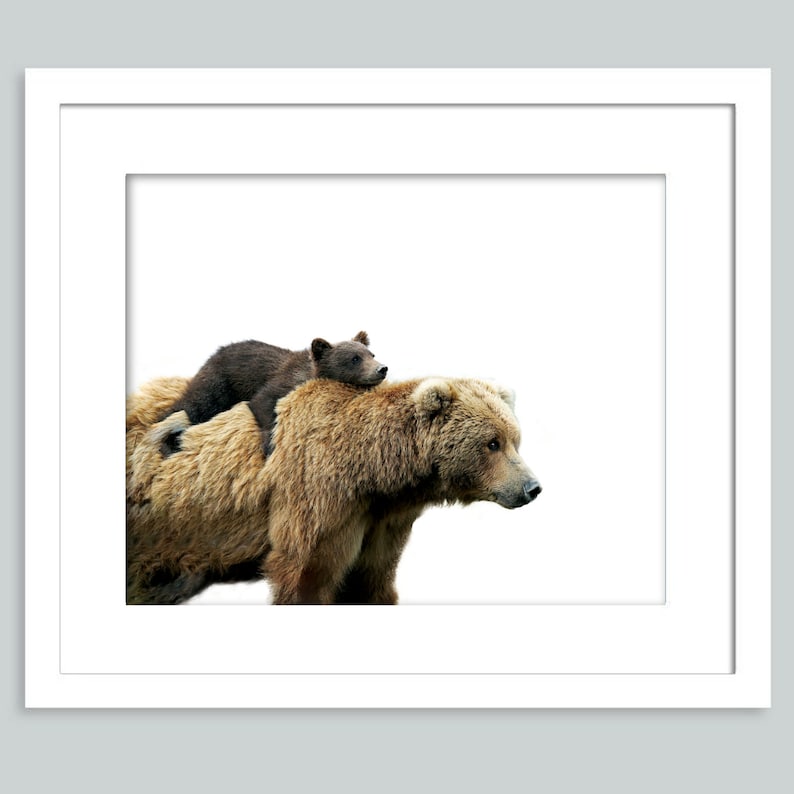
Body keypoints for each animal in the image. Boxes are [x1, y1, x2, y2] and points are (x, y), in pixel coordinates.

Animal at [126, 375, 541, 605]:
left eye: (515, 439)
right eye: (492, 443)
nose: (532, 487)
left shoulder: (381, 521)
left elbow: (371, 580)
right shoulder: (318, 500)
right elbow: (307, 573)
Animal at [160, 330, 387, 456]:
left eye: (371, 354)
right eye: (354, 358)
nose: (382, 369)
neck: (308, 374)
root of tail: (214, 353)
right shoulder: (279, 383)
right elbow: (263, 402)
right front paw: (270, 445)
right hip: (219, 381)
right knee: (195, 405)